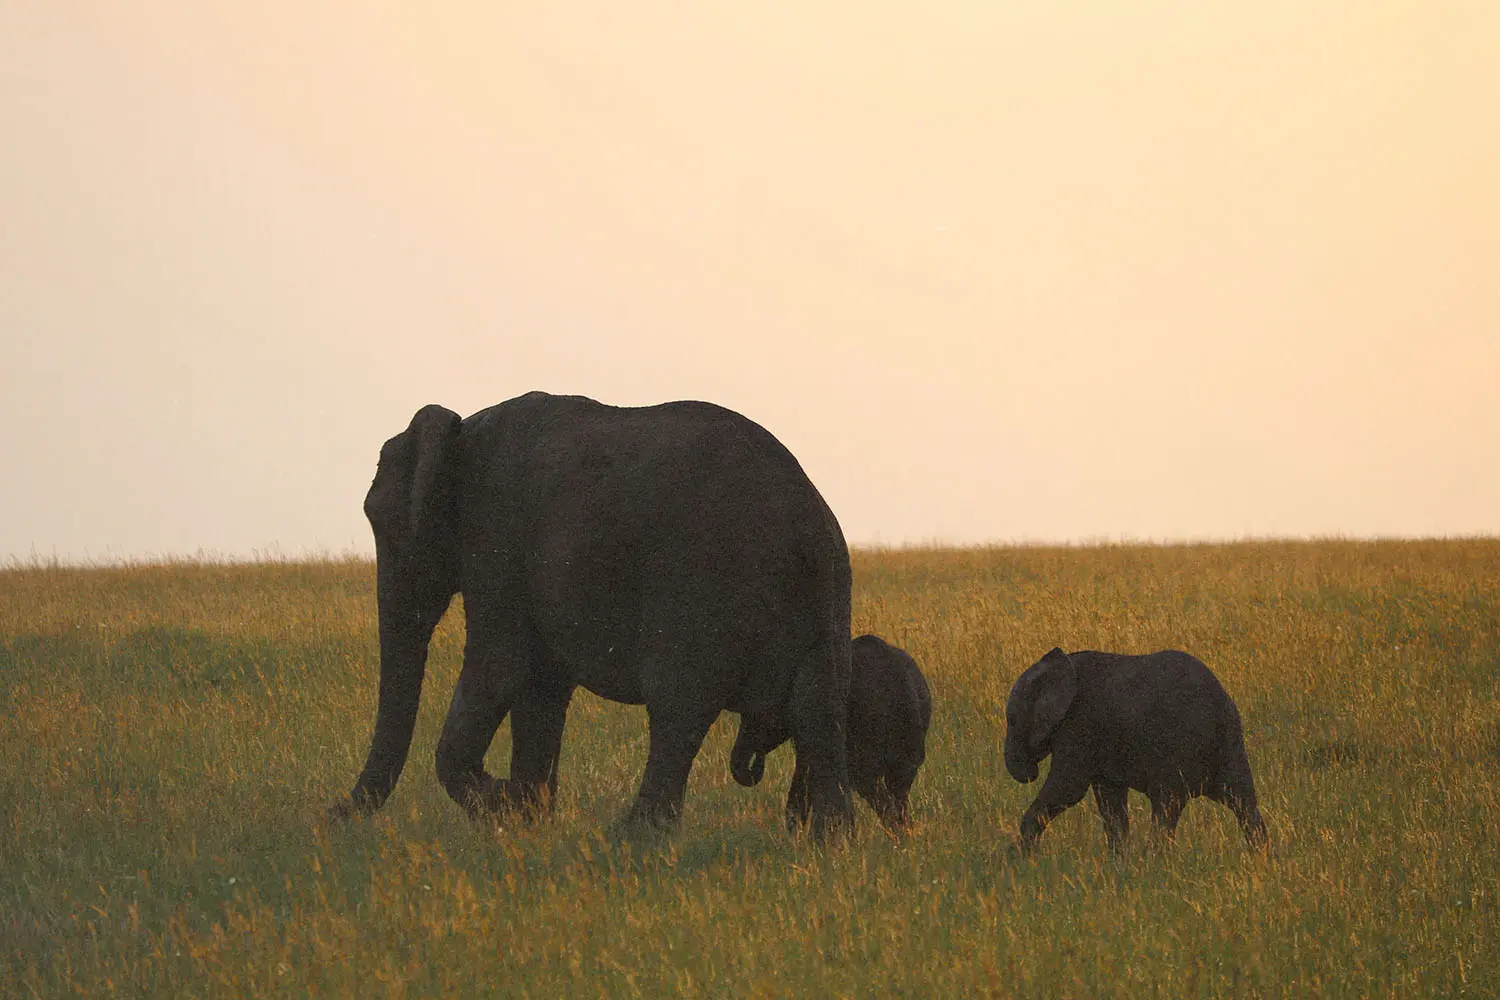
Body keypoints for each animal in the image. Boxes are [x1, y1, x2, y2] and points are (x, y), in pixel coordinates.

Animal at [330, 392, 855, 837]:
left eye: (384, 526)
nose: (331, 813)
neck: (461, 431)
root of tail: (809, 523)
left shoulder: (496, 534)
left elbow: (500, 668)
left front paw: (503, 807)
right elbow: (540, 686)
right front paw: (528, 819)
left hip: (704, 586)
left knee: (678, 705)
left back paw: (634, 837)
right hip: (826, 599)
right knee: (817, 706)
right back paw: (824, 840)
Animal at [1004, 647, 1267, 854]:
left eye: (1012, 720)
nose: (1029, 772)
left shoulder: (1079, 725)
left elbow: (1068, 789)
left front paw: (1022, 858)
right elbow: (1109, 800)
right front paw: (1119, 863)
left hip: (1178, 747)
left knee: (1167, 805)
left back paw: (1153, 862)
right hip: (1230, 742)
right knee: (1243, 802)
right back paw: (1261, 858)